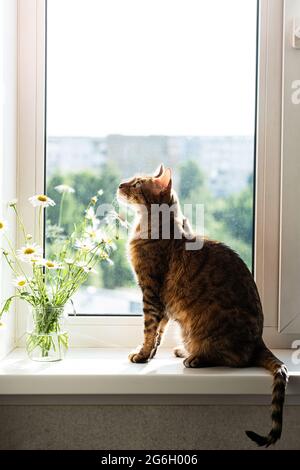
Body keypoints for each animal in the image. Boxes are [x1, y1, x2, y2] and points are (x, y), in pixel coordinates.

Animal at [117, 166, 288, 448]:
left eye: (138, 183)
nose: (120, 184)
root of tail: (259, 341)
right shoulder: (164, 306)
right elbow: (158, 333)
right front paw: (150, 354)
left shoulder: (151, 293)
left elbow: (149, 330)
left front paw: (141, 354)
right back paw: (183, 351)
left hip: (205, 331)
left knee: (236, 360)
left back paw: (195, 358)